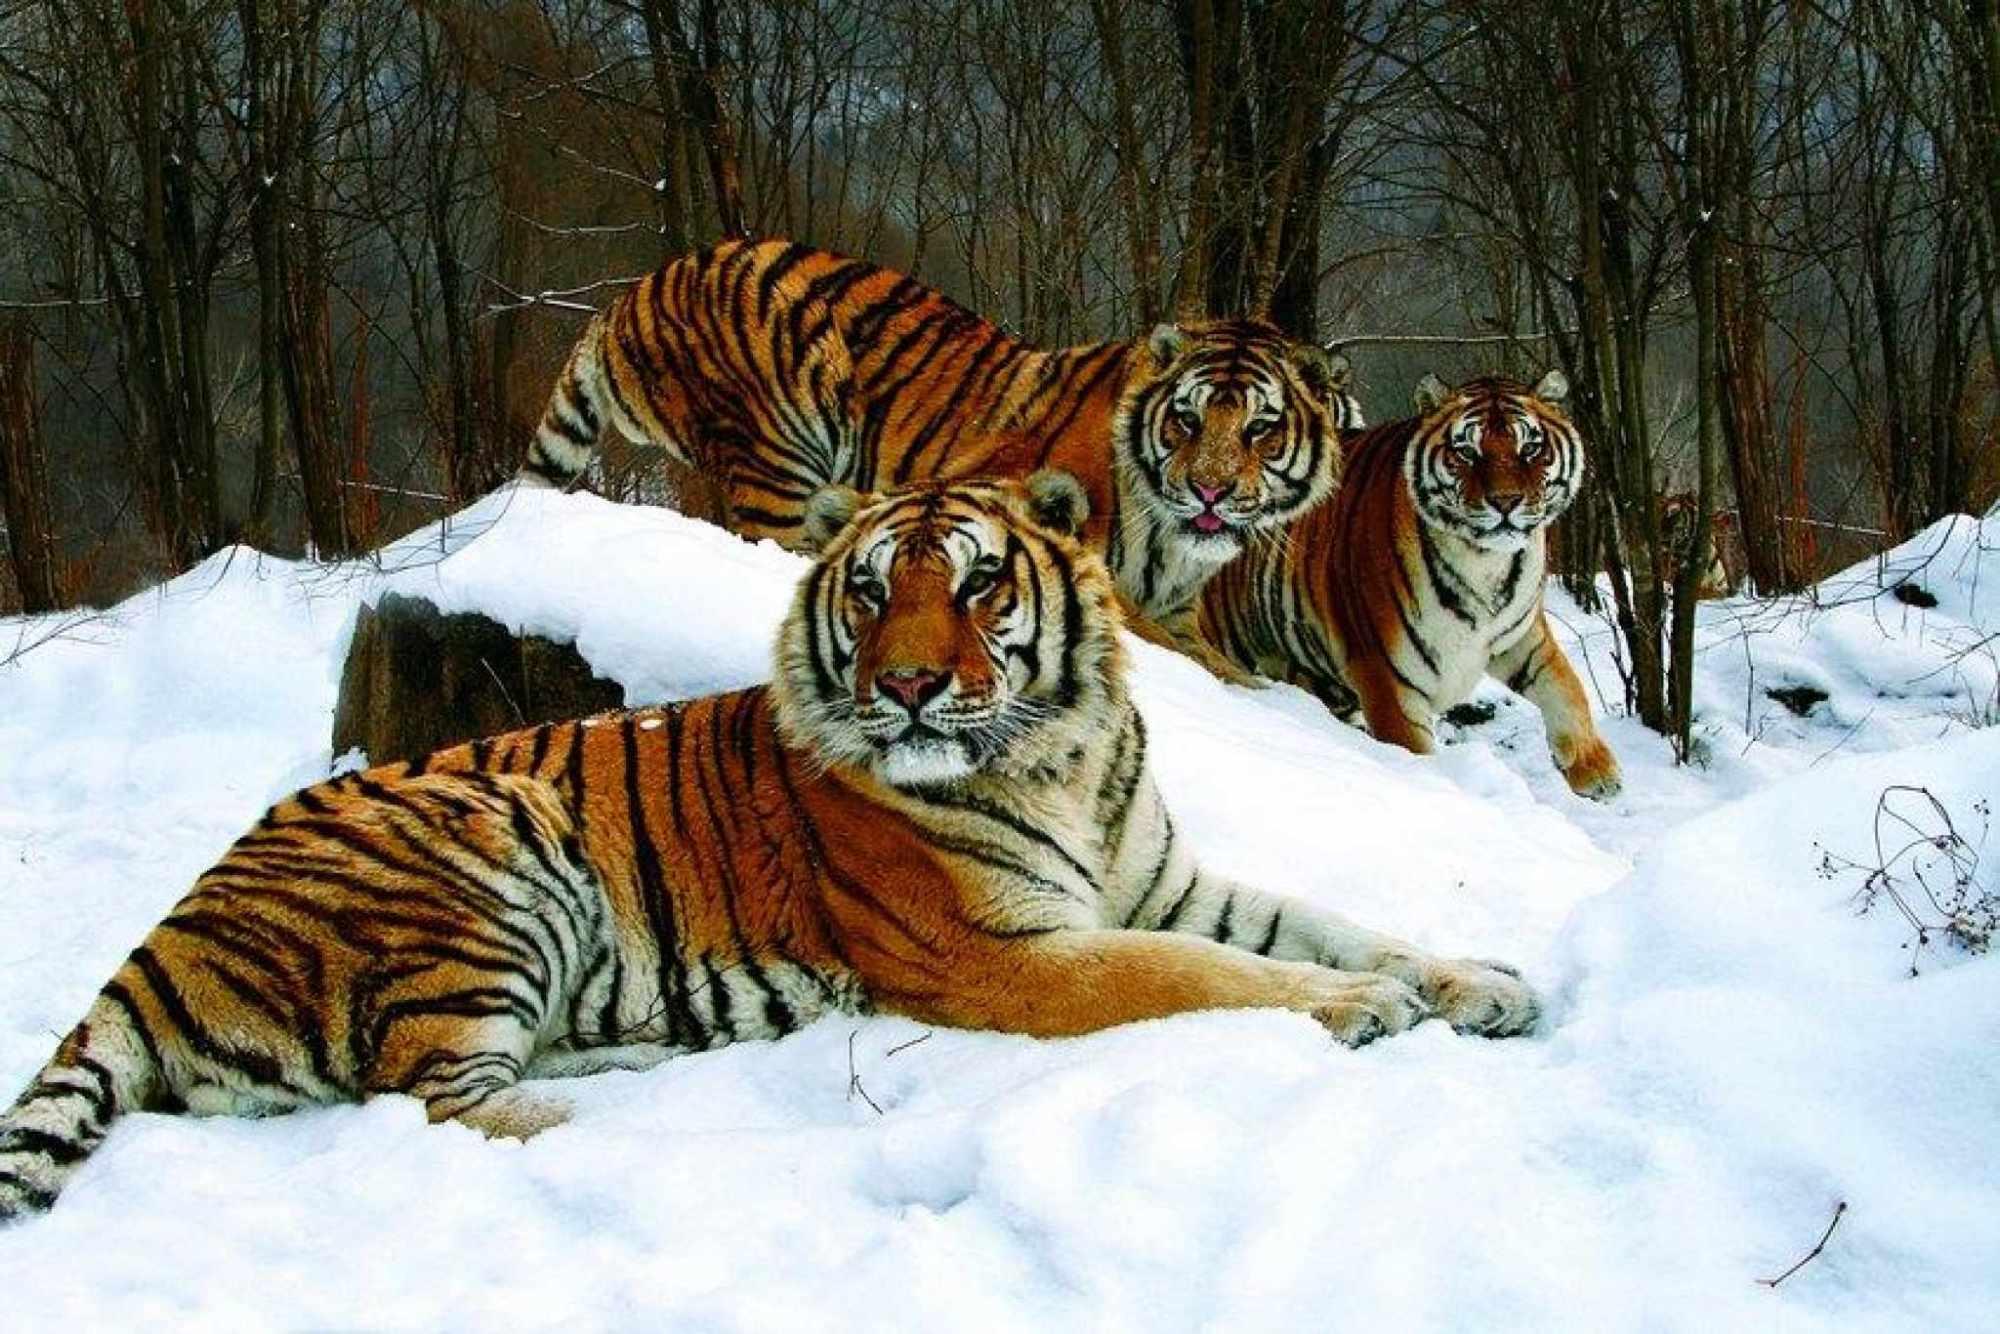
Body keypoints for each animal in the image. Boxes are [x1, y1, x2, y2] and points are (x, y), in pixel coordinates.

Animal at [0, 474, 1537, 1220]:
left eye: (978, 585)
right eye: (869, 592)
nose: (906, 684)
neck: (1064, 750)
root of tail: (171, 922)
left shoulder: (1161, 876)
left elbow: (1327, 921)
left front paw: (1480, 980)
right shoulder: (1006, 952)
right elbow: (1203, 975)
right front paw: (1361, 1009)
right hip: (493, 839)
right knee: (422, 1087)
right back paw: (612, 1117)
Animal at [518, 237, 1358, 674]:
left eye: (1260, 430)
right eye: (1185, 421)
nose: (1209, 491)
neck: (1173, 547)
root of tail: (633, 291)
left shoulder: (1182, 607)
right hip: (778, 448)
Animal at [1199, 371, 1623, 800]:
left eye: (1531, 448)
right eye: (1466, 452)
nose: (1506, 502)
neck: (1486, 562)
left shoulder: (1521, 635)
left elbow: (1566, 687)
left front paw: (1596, 771)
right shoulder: (1387, 676)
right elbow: (1414, 752)